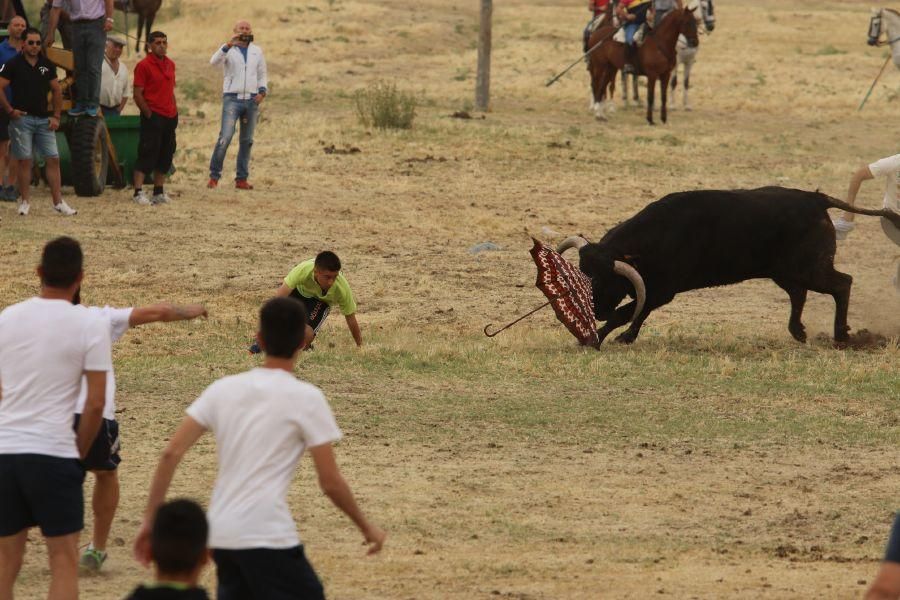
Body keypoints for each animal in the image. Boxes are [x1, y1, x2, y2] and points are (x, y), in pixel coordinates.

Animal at [556, 188, 900, 346]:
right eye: (582, 272)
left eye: (604, 280)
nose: (594, 310)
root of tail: (816, 199)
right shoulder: (653, 289)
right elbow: (637, 311)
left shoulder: (662, 290)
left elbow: (630, 312)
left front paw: (601, 336)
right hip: (786, 272)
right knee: (799, 294)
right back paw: (798, 331)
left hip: (810, 268)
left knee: (843, 283)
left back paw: (841, 334)